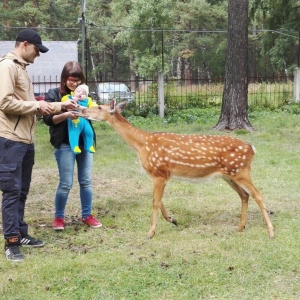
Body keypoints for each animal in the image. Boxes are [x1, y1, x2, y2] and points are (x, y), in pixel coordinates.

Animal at [82, 100, 274, 239]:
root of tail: (251, 148)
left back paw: (271, 232)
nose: (82, 110)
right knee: (245, 195)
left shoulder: (159, 171)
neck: (142, 144)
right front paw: (172, 220)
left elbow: (154, 202)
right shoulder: (159, 174)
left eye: (99, 106)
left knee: (257, 194)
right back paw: (240, 227)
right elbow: (158, 201)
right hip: (229, 175)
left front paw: (150, 232)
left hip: (240, 171)